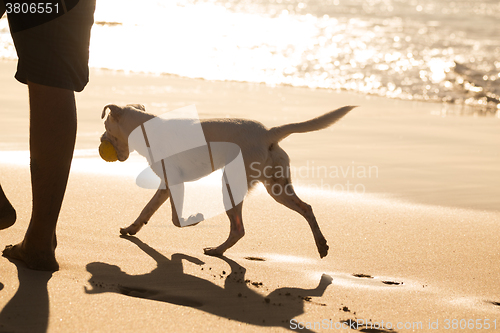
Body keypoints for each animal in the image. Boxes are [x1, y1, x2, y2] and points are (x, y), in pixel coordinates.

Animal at [99, 103, 354, 256]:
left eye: (105, 125)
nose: (100, 140)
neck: (144, 130)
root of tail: (268, 133)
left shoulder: (175, 182)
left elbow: (175, 218)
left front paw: (193, 219)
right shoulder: (166, 185)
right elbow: (147, 209)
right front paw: (132, 228)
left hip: (231, 184)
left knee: (238, 228)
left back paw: (216, 250)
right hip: (277, 188)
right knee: (306, 208)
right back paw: (321, 244)